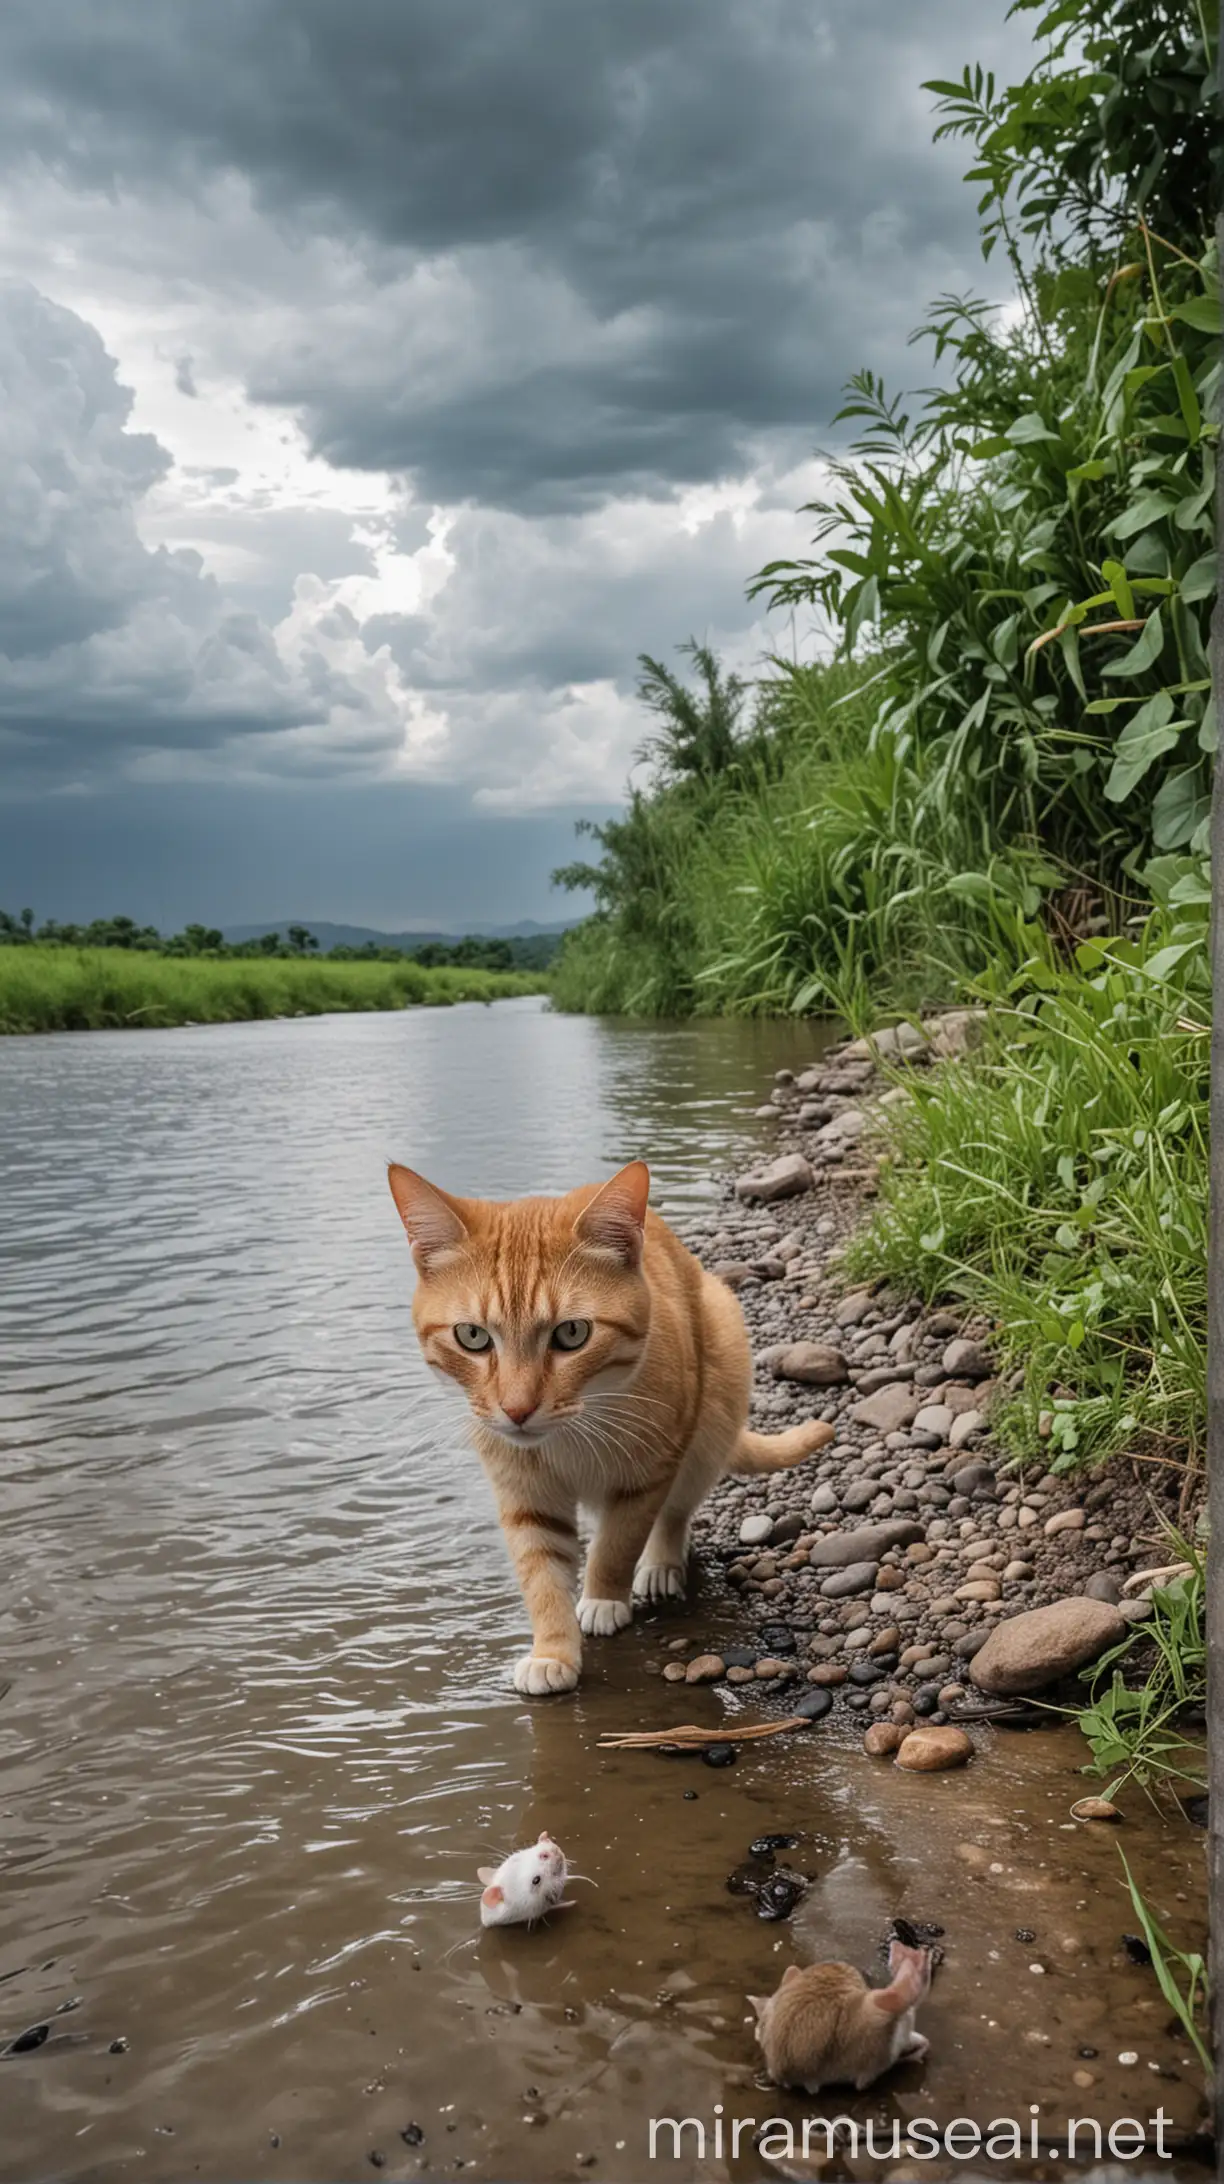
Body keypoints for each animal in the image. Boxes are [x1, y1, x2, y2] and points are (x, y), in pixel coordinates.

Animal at [389, 1161, 830, 1686]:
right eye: (472, 1336)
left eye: (572, 1333)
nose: (517, 1410)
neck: (571, 1433)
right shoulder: (525, 1494)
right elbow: (541, 1573)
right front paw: (553, 1653)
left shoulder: (648, 1474)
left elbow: (618, 1545)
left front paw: (603, 1598)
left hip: (712, 1410)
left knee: (677, 1510)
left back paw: (661, 1563)